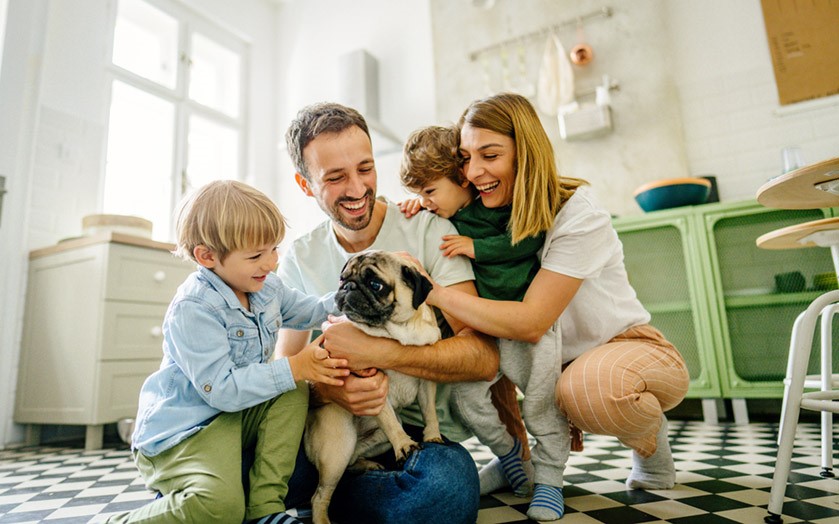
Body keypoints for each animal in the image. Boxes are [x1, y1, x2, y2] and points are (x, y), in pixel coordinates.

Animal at [306, 251, 442, 524]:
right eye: (342, 278)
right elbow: (388, 420)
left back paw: (367, 465)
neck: (397, 332)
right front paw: (405, 446)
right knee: (320, 496)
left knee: (352, 462)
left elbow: (430, 411)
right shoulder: (371, 386)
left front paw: (433, 435)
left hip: (372, 442)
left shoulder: (427, 381)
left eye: (375, 285)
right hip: (338, 445)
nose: (347, 287)